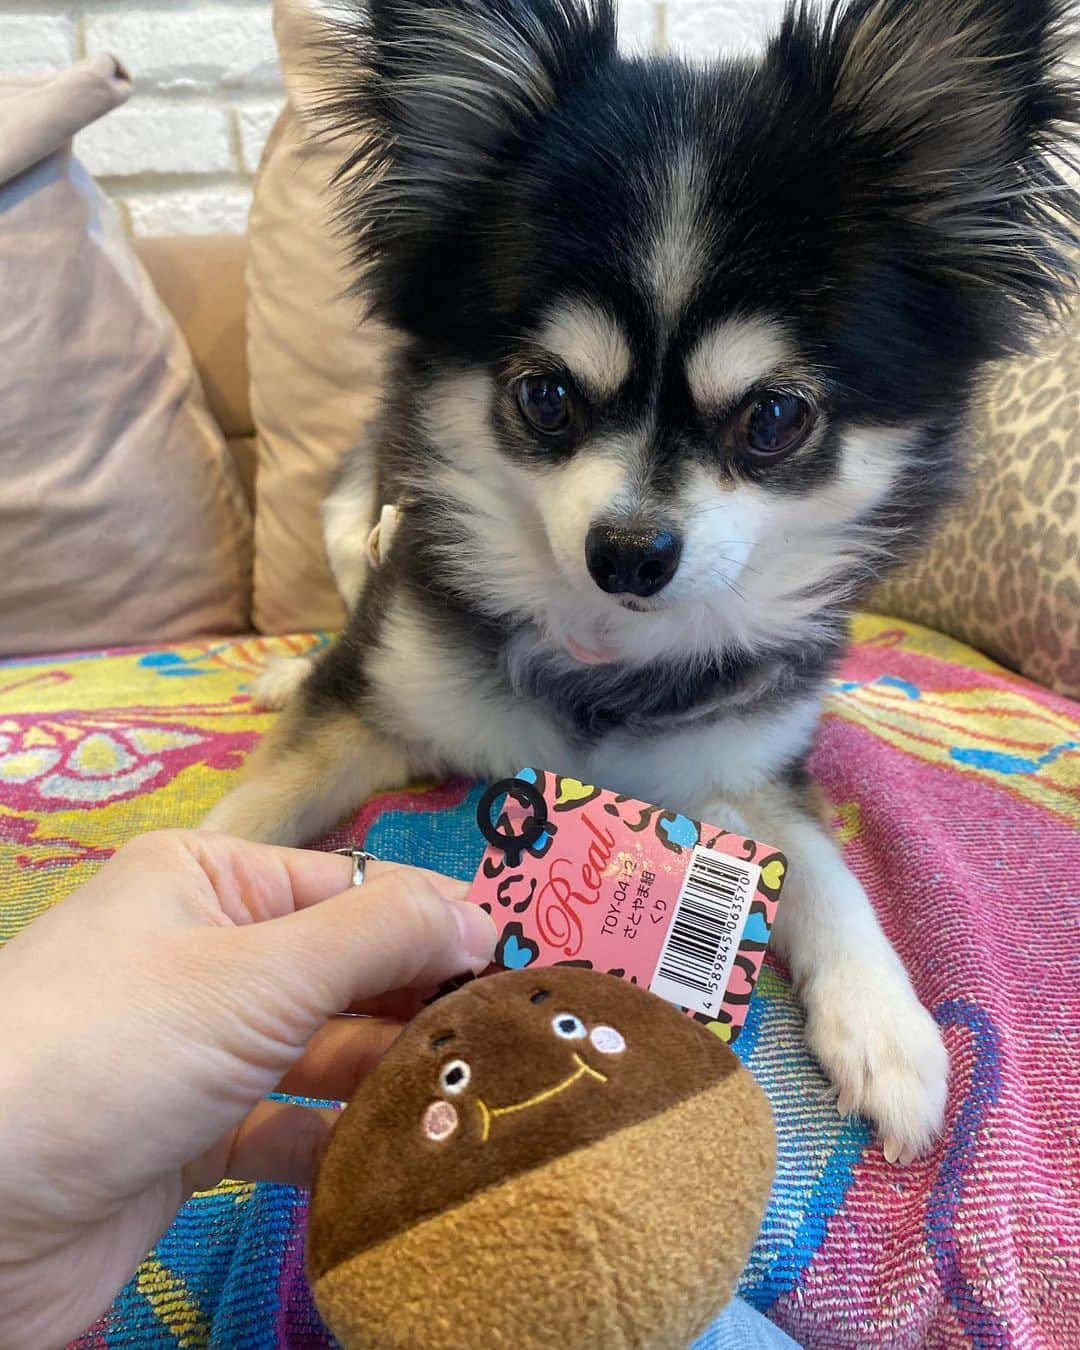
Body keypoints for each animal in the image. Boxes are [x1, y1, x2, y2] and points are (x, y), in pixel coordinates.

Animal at [205, 0, 1080, 1161]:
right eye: (543, 396)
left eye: (774, 416)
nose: (627, 550)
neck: (610, 656)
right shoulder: (371, 693)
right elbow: (247, 811)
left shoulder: (752, 767)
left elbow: (823, 863)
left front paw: (887, 1028)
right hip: (355, 513)